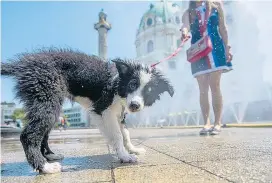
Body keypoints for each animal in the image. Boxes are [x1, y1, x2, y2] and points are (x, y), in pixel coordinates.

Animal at [1, 48, 174, 174]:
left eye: (149, 92)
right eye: (132, 84)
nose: (135, 106)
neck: (118, 83)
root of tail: (25, 62)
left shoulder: (120, 111)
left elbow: (125, 133)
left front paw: (132, 149)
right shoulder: (104, 109)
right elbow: (117, 135)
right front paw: (125, 156)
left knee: (44, 132)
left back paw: (50, 156)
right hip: (47, 97)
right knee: (29, 135)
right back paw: (44, 167)